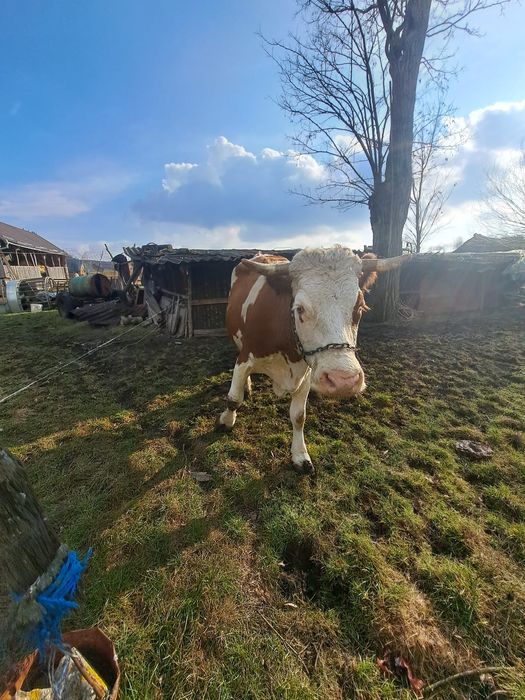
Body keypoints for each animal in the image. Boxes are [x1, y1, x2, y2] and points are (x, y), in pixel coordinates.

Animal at [217, 246, 406, 474]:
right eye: (300, 309)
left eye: (359, 307)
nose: (343, 381)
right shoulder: (245, 358)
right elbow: (234, 398)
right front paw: (226, 421)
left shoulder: (307, 373)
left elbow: (299, 416)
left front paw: (300, 455)